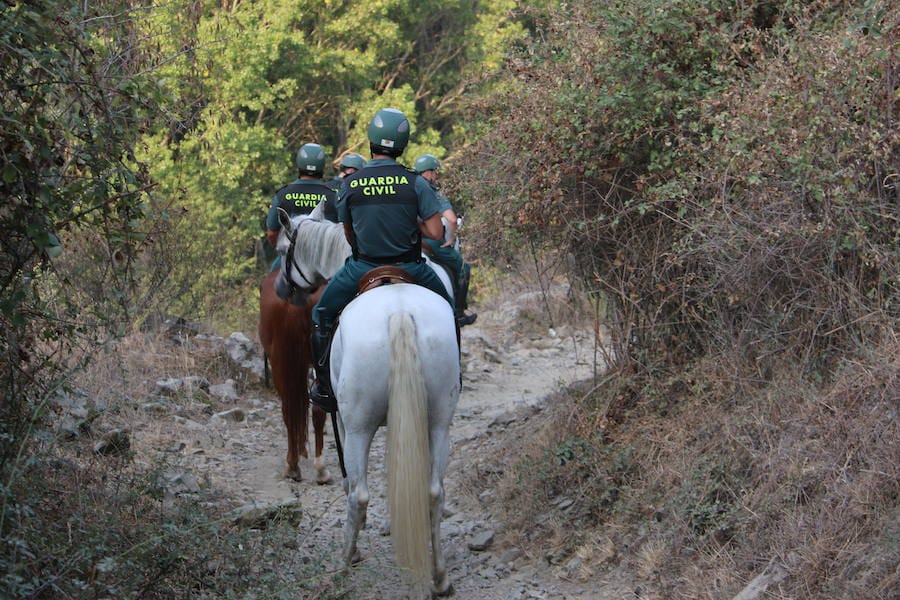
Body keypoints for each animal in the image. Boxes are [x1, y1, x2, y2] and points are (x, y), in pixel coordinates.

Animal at [276, 205, 460, 596]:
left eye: (284, 248)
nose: (282, 288)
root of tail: (399, 313)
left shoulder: (344, 423)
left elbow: (349, 480)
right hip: (438, 422)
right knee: (434, 492)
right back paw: (439, 578)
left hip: (359, 426)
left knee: (358, 494)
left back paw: (342, 566)